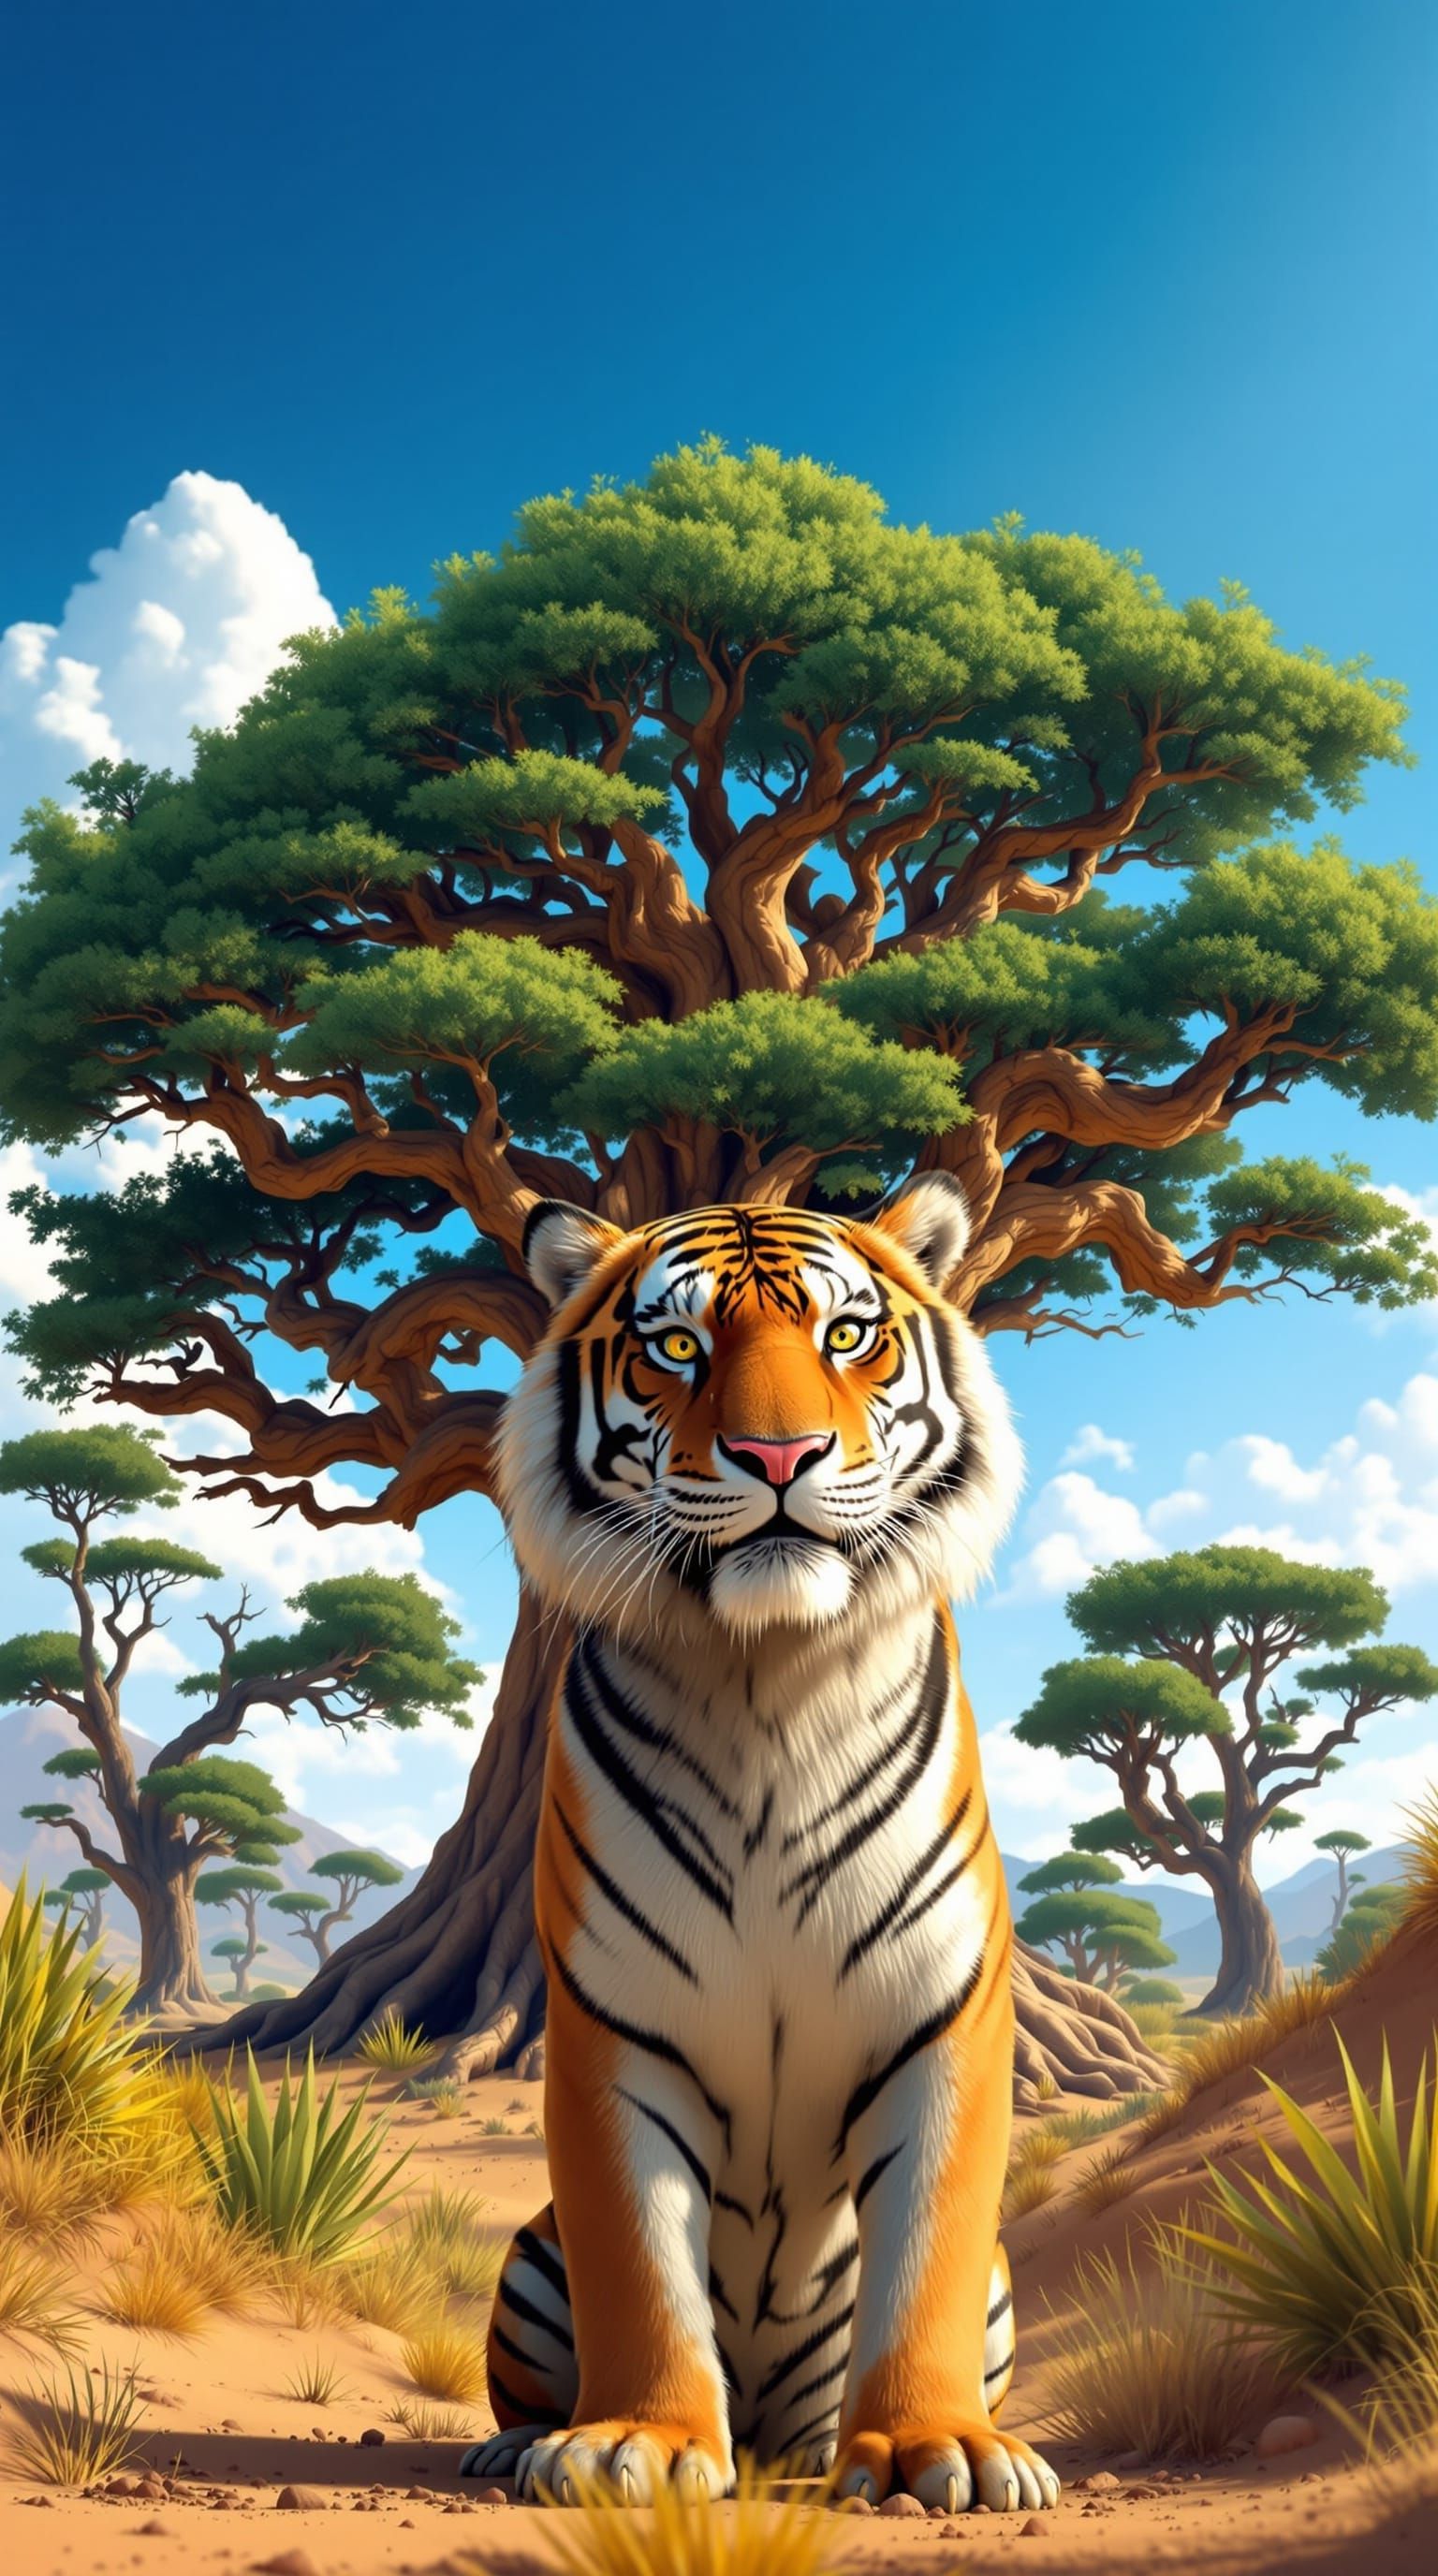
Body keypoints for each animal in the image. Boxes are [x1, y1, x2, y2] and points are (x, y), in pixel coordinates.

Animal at [458, 1173, 1060, 2517]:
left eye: (846, 1335)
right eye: (678, 1346)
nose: (780, 1457)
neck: (768, 1677)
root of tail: (781, 2432)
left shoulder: (946, 2016)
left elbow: (930, 2254)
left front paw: (941, 2448)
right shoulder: (611, 2030)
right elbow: (637, 2260)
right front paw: (634, 2442)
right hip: (528, 2257)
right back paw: (522, 2444)